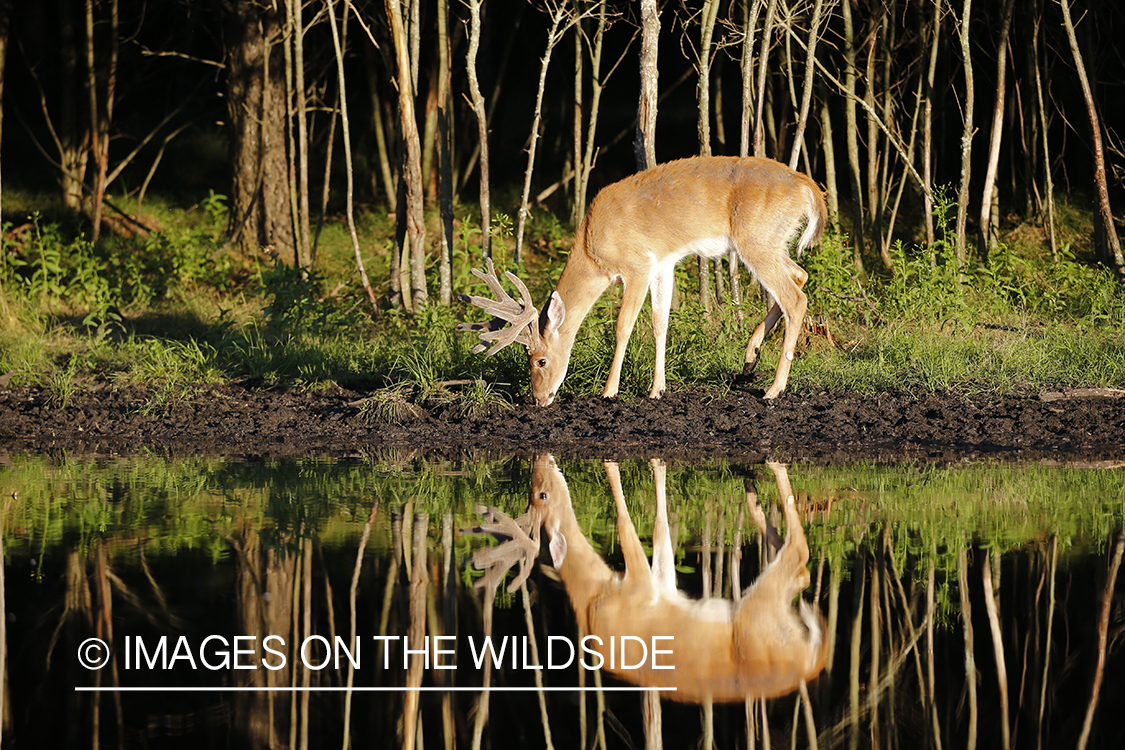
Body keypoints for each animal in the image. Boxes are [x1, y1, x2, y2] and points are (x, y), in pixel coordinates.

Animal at [465, 454, 828, 706]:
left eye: (541, 495)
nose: (542, 463)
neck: (594, 598)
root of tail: (814, 660)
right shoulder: (659, 584)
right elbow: (661, 533)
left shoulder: (637, 589)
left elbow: (629, 527)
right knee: (801, 569)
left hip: (759, 615)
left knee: (800, 552)